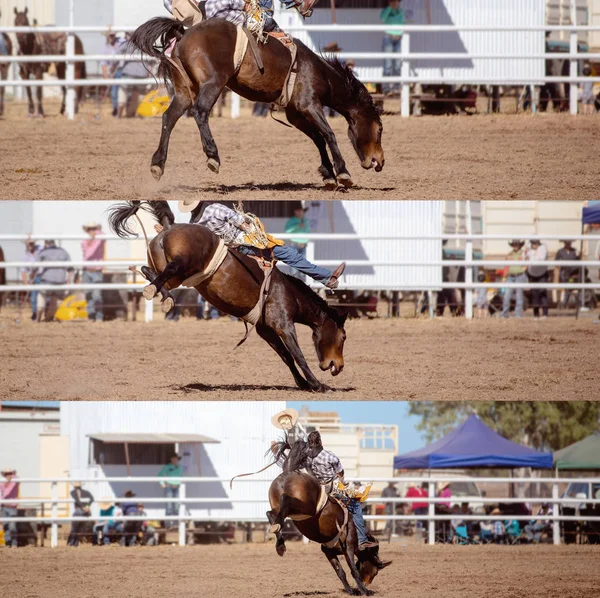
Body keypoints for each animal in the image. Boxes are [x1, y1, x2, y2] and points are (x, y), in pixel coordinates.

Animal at [109, 202, 346, 394]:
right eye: (343, 337)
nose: (339, 366)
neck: (286, 290)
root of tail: (169, 227)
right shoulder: (283, 325)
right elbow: (298, 355)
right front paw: (317, 385)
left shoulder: (265, 329)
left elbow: (286, 357)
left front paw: (303, 384)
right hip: (184, 263)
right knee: (170, 267)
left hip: (176, 274)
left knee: (150, 272)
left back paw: (164, 296)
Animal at [129, 17, 386, 190]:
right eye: (381, 129)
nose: (380, 161)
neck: (319, 71)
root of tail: (183, 34)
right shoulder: (309, 105)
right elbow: (329, 135)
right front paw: (342, 173)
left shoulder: (295, 114)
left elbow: (318, 139)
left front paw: (329, 175)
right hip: (213, 83)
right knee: (200, 112)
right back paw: (213, 156)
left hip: (184, 90)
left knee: (169, 118)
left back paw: (157, 164)